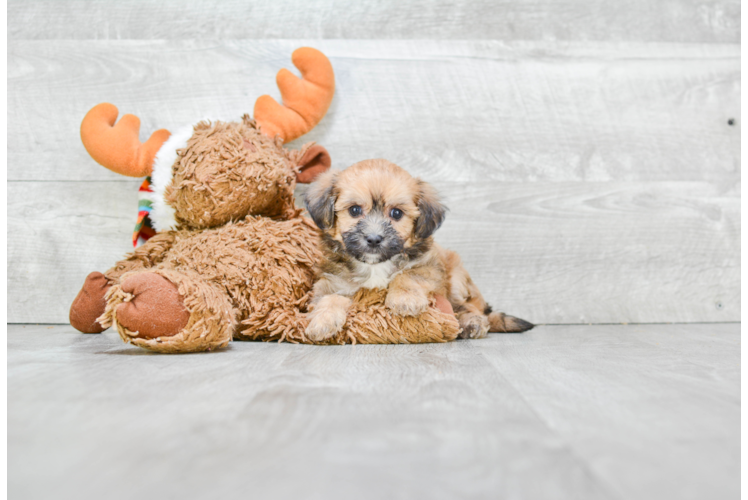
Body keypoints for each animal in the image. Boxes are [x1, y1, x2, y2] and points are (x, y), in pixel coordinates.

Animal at [302, 158, 532, 342]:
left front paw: (405, 300)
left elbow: (408, 275)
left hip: (456, 276)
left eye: (396, 213)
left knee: (468, 307)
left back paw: (471, 323)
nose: (374, 239)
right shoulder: (331, 281)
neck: (375, 265)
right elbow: (329, 298)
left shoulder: (430, 266)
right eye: (355, 210)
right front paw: (322, 321)